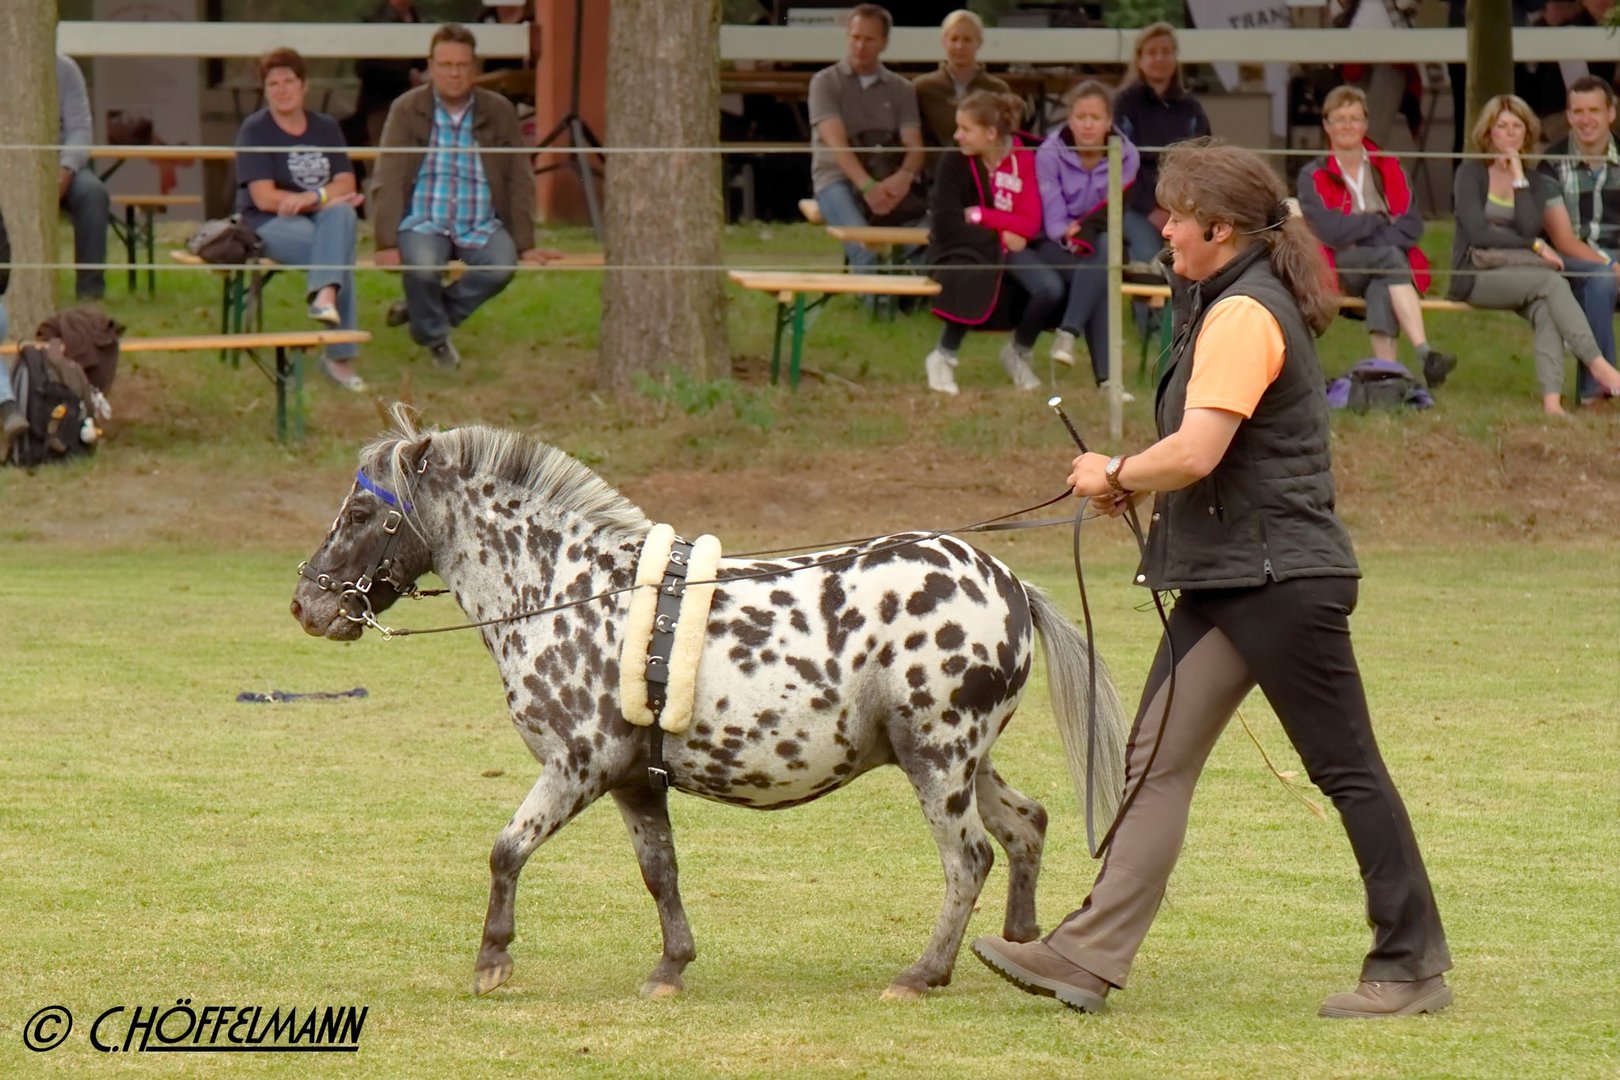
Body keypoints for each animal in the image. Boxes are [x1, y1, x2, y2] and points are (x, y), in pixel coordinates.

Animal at [291, 409, 1127, 1003]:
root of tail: (1008, 583)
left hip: (939, 758)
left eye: (362, 514)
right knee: (1025, 827)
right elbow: (660, 872)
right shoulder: (633, 780)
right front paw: (671, 967)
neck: (567, 590)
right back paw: (1020, 946)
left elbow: (506, 849)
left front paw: (492, 960)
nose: (307, 604)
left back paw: (923, 974)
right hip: (962, 760)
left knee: (969, 858)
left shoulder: (577, 766)